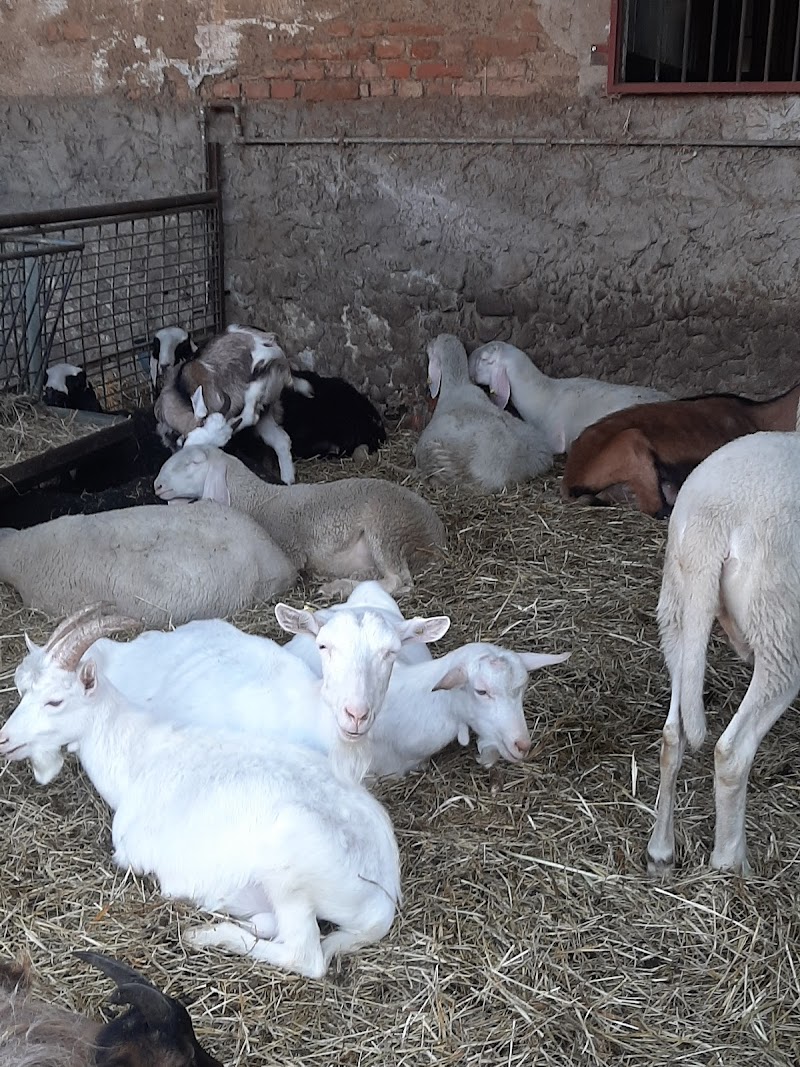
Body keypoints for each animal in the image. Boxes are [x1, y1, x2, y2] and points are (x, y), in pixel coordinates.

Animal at [0, 605, 402, 977]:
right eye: (23, 690)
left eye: (55, 701)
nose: (5, 739)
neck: (139, 756)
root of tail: (384, 897)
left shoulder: (132, 853)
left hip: (290, 869)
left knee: (304, 955)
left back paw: (206, 934)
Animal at [154, 324, 299, 484]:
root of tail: (271, 344)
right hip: (266, 409)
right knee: (281, 440)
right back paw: (287, 481)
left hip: (254, 390)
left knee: (250, 416)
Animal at [155, 445, 446, 598]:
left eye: (193, 463)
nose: (156, 484)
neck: (258, 500)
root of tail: (438, 536)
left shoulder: (290, 550)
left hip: (387, 527)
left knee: (398, 581)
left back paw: (337, 587)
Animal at [647, 431, 800, 876]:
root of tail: (711, 520)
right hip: (782, 630)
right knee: (731, 752)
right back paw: (731, 863)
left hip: (676, 611)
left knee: (673, 734)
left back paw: (660, 852)